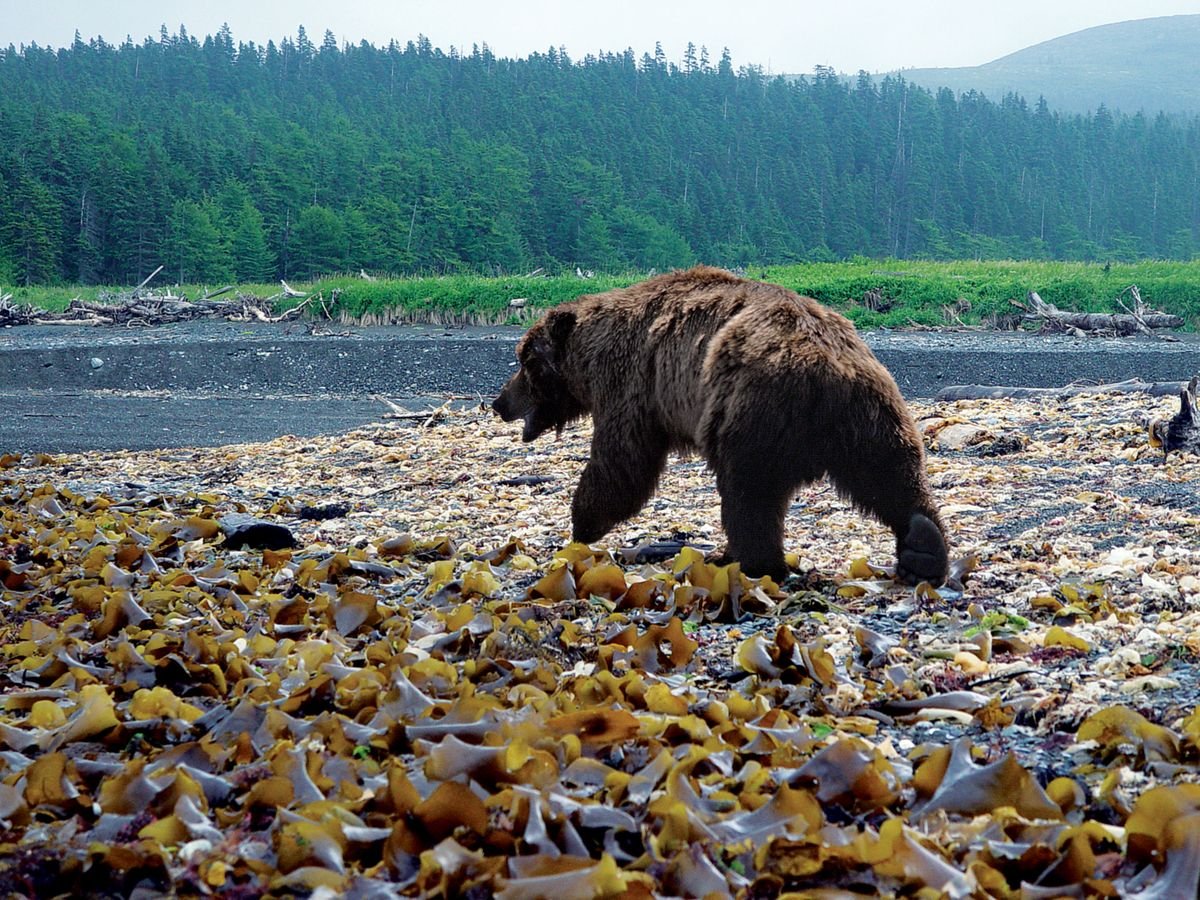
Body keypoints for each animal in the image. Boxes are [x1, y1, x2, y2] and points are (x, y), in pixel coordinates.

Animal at [492, 264, 950, 585]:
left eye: (523, 361)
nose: (499, 403)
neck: (589, 357)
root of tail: (827, 367)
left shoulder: (632, 382)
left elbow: (622, 459)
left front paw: (582, 523)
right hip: (871, 411)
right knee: (892, 472)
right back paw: (923, 549)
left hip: (750, 407)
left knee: (748, 492)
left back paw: (747, 560)